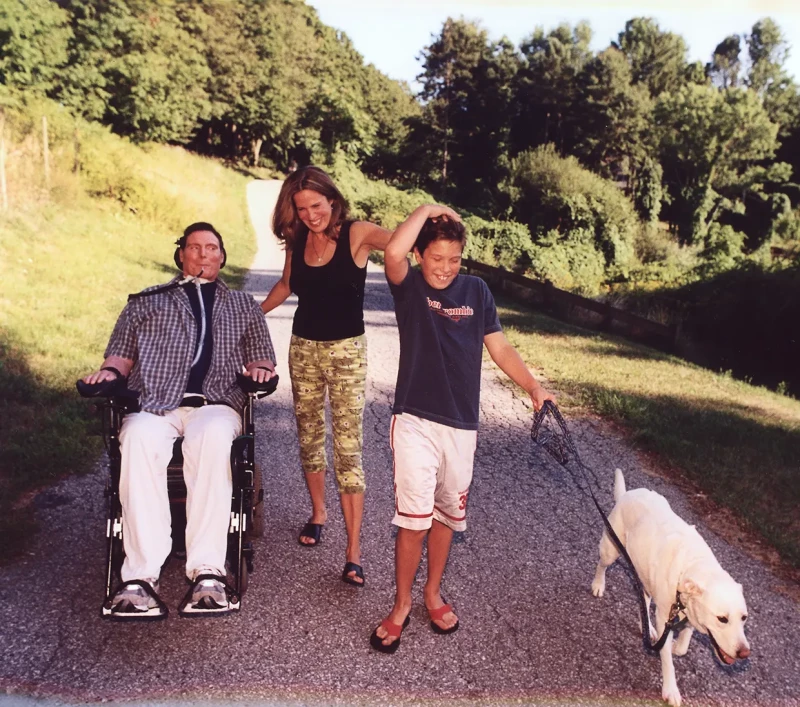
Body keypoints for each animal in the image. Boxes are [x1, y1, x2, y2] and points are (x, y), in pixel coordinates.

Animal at [588, 470, 752, 707]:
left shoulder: (689, 613)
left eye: (744, 618)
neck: (692, 566)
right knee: (602, 565)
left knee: (644, 598)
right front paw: (671, 689)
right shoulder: (666, 616)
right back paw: (598, 585)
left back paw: (646, 625)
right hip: (611, 549)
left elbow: (683, 644)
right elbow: (667, 660)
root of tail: (627, 494)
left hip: (643, 572)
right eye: (722, 619)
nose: (744, 653)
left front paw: (677, 645)